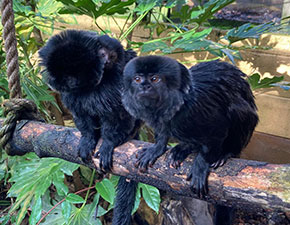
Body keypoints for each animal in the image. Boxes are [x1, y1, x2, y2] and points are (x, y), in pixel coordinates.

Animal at [38, 30, 142, 225]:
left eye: (77, 70)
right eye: (65, 73)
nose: (72, 81)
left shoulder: (115, 84)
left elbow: (116, 113)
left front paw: (109, 143)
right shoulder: (72, 96)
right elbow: (82, 116)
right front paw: (87, 140)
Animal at [122, 55, 258, 196]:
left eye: (154, 79)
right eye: (137, 79)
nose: (144, 86)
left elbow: (217, 131)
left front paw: (201, 164)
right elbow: (162, 132)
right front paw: (156, 148)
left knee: (238, 110)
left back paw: (226, 153)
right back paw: (183, 149)